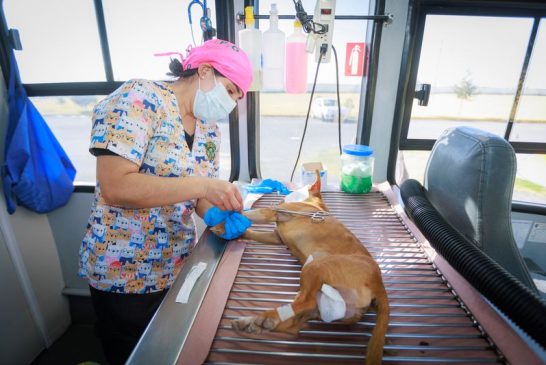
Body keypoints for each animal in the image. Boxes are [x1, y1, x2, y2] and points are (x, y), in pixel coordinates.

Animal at [211, 172, 386, 362]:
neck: (313, 203)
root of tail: (378, 285)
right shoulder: (276, 236)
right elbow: (253, 233)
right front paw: (236, 231)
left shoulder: (274, 212)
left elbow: (249, 214)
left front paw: (221, 224)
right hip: (321, 303)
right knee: (295, 322)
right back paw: (255, 323)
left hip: (315, 266)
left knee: (305, 303)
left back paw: (266, 318)